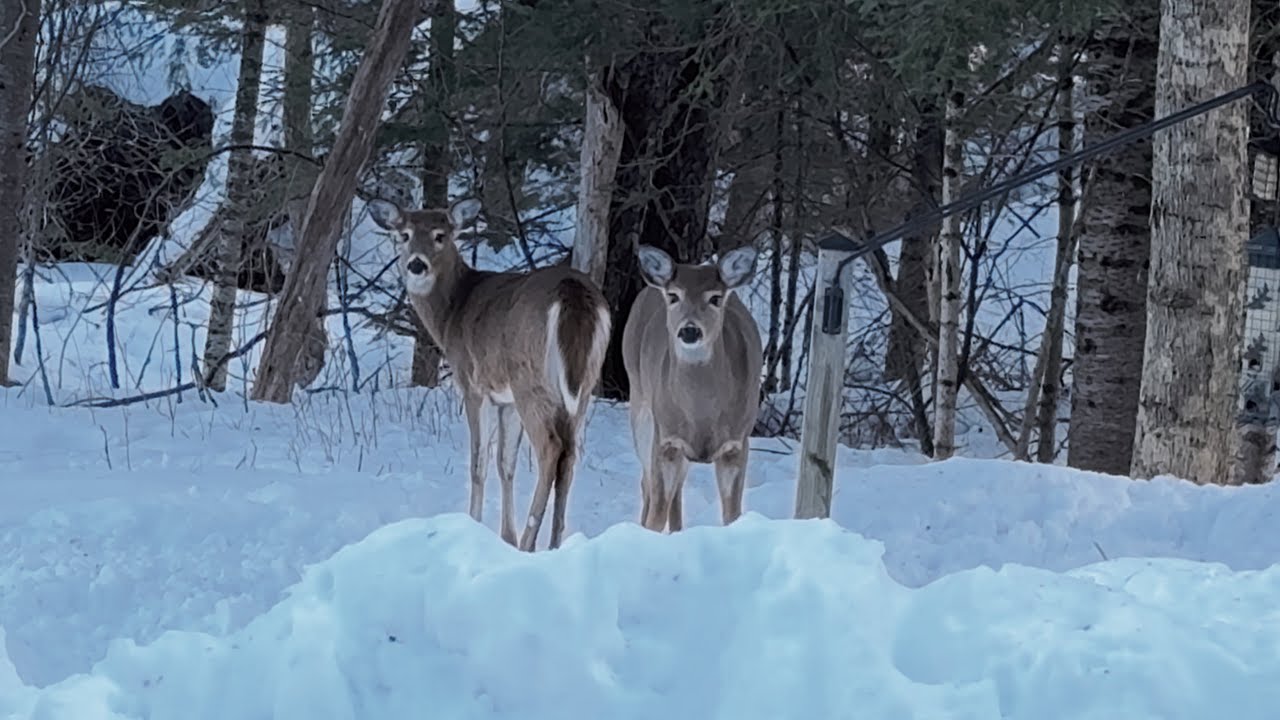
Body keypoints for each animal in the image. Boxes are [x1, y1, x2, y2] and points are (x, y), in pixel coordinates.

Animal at [367, 197, 612, 552]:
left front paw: (475, 524)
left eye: (441, 235)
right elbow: (505, 463)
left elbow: (478, 463)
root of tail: (574, 295)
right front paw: (505, 535)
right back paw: (554, 543)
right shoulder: (505, 400)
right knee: (570, 454)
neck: (452, 312)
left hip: (530, 380)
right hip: (584, 384)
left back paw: (528, 541)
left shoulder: (473, 384)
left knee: (551, 448)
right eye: (404, 235)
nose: (416, 265)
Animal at [621, 242, 763, 533]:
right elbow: (656, 513)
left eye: (716, 298)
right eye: (674, 296)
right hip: (640, 405)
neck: (702, 416)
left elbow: (732, 514)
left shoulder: (737, 443)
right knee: (647, 485)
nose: (689, 330)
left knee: (675, 490)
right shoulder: (666, 439)